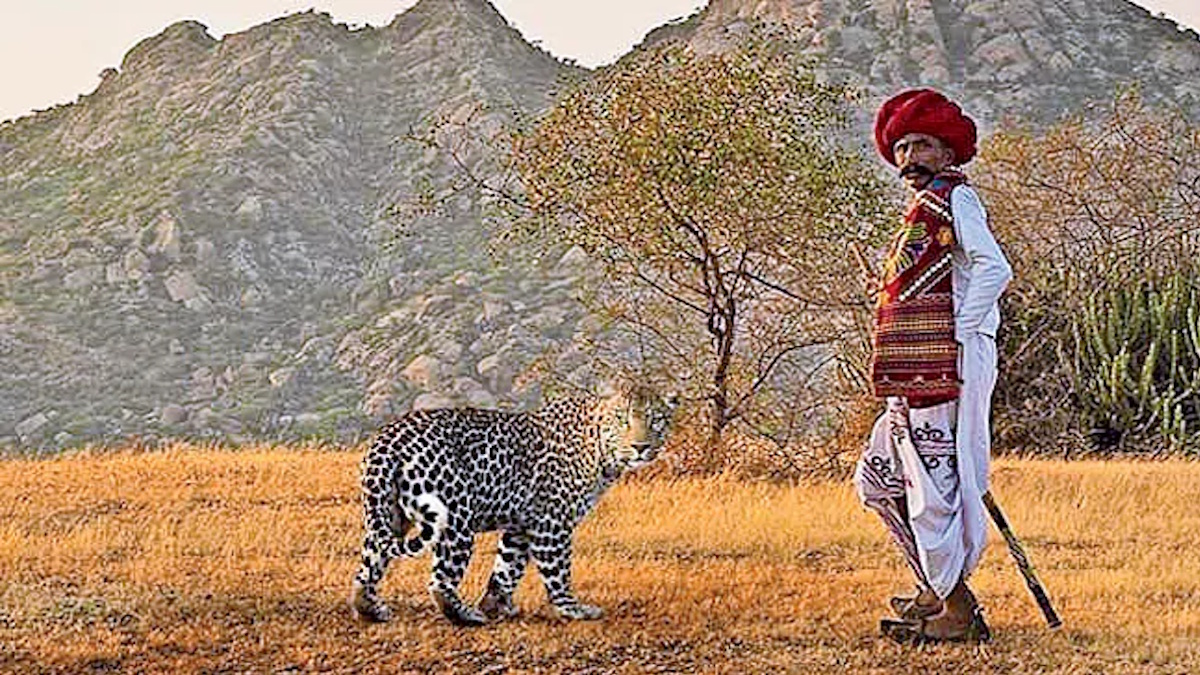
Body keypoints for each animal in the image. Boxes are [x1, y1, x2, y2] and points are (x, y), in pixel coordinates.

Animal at [349, 384, 678, 626]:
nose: (640, 446)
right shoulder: (551, 524)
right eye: (623, 420)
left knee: (368, 566)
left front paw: (497, 605)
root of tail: (387, 440)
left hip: (388, 514)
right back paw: (465, 615)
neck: (599, 451)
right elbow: (558, 572)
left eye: (655, 420)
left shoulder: (521, 525)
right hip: (454, 519)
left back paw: (371, 609)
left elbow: (507, 567)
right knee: (440, 581)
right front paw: (574, 610)